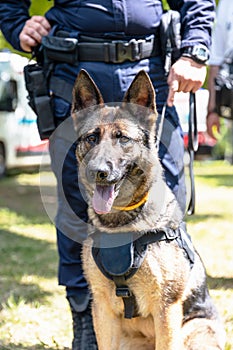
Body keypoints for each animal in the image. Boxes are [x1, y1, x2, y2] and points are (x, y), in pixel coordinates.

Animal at [71, 69, 226, 348]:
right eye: (91, 138)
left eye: (122, 138)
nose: (98, 171)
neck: (120, 224)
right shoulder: (102, 309)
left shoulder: (166, 308)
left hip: (194, 331)